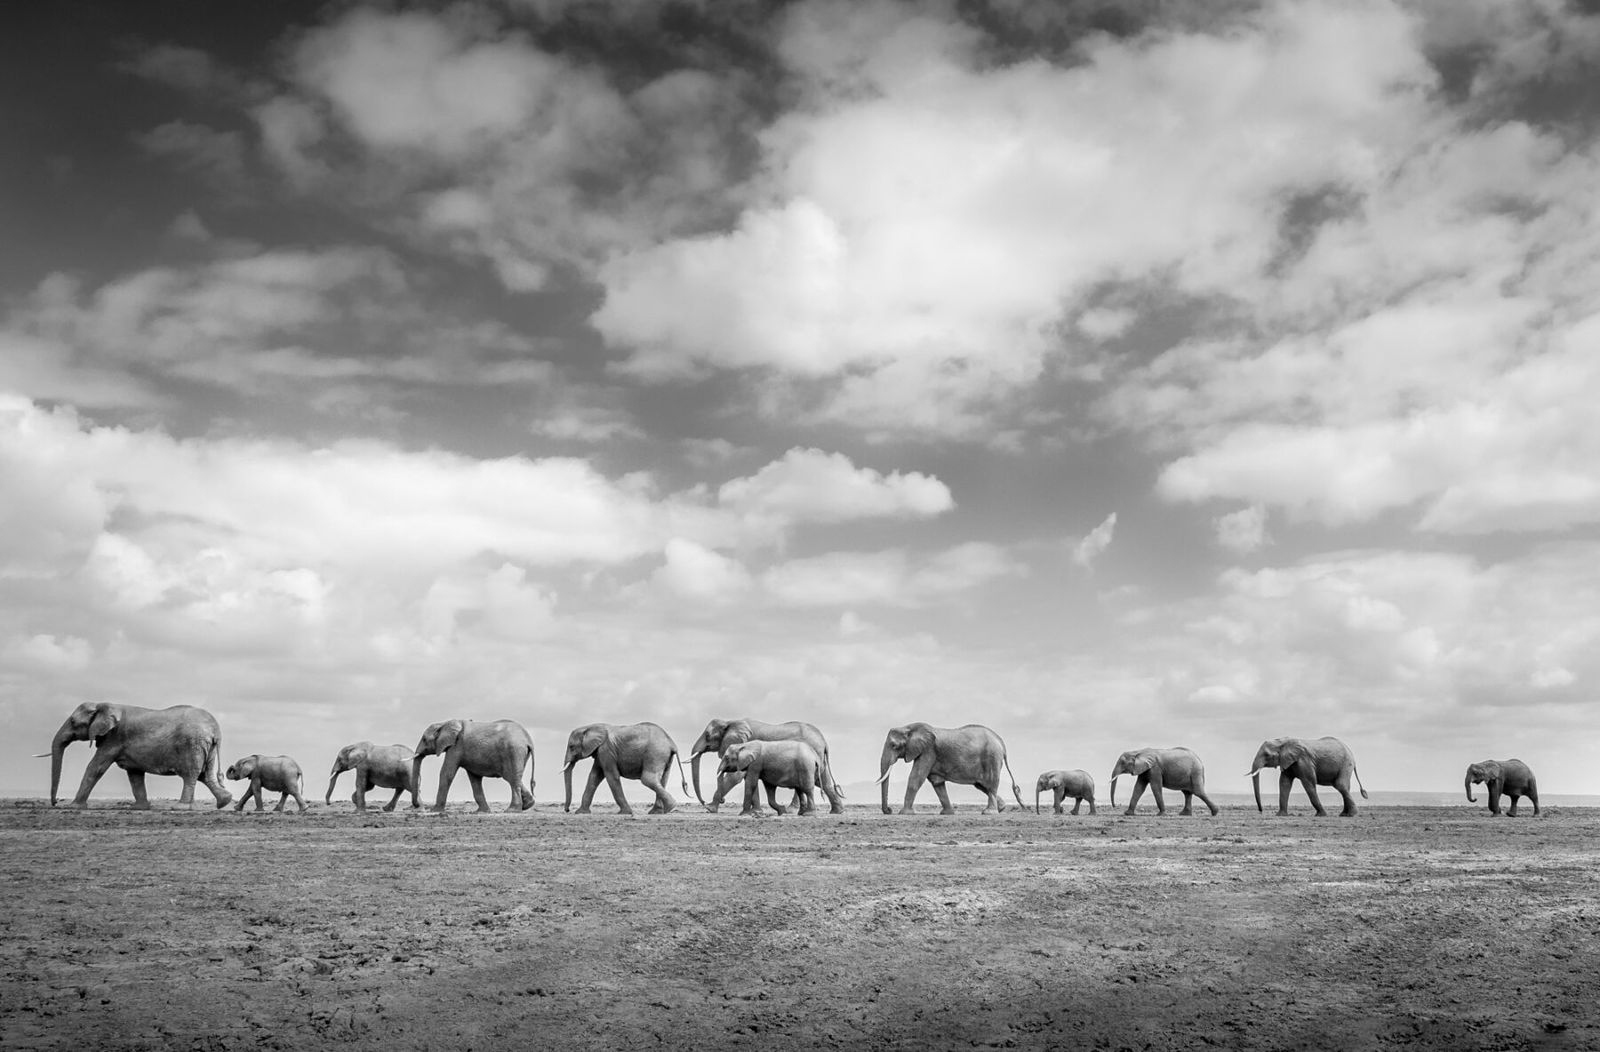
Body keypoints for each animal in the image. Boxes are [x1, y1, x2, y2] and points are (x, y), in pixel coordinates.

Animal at [44, 700, 233, 805]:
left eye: (73, 722)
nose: (55, 803)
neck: (103, 705)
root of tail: (215, 730)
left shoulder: (114, 738)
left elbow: (95, 767)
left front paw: (74, 806)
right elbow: (134, 774)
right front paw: (140, 808)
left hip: (192, 745)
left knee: (191, 775)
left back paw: (181, 807)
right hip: (206, 747)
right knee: (204, 775)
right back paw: (223, 802)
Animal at [688, 713, 851, 812]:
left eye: (707, 735)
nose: (723, 800)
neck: (730, 721)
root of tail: (824, 741)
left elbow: (736, 777)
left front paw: (710, 809)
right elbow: (749, 778)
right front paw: (756, 812)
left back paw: (792, 810)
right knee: (822, 780)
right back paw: (837, 811)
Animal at [876, 716, 1024, 815]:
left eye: (894, 745)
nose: (889, 810)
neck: (908, 727)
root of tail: (1001, 743)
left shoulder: (928, 751)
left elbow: (916, 778)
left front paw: (904, 813)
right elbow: (937, 783)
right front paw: (947, 813)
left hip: (992, 758)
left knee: (990, 785)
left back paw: (989, 812)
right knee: (981, 785)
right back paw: (1001, 808)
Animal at [1241, 732, 1369, 815]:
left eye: (1267, 755)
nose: (1261, 811)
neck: (1284, 741)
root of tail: (1352, 754)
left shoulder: (1304, 761)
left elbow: (1308, 783)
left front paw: (1321, 815)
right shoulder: (1287, 761)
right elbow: (1284, 783)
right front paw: (1280, 815)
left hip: (1346, 764)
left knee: (1340, 785)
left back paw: (1351, 815)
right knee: (1344, 787)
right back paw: (1344, 814)